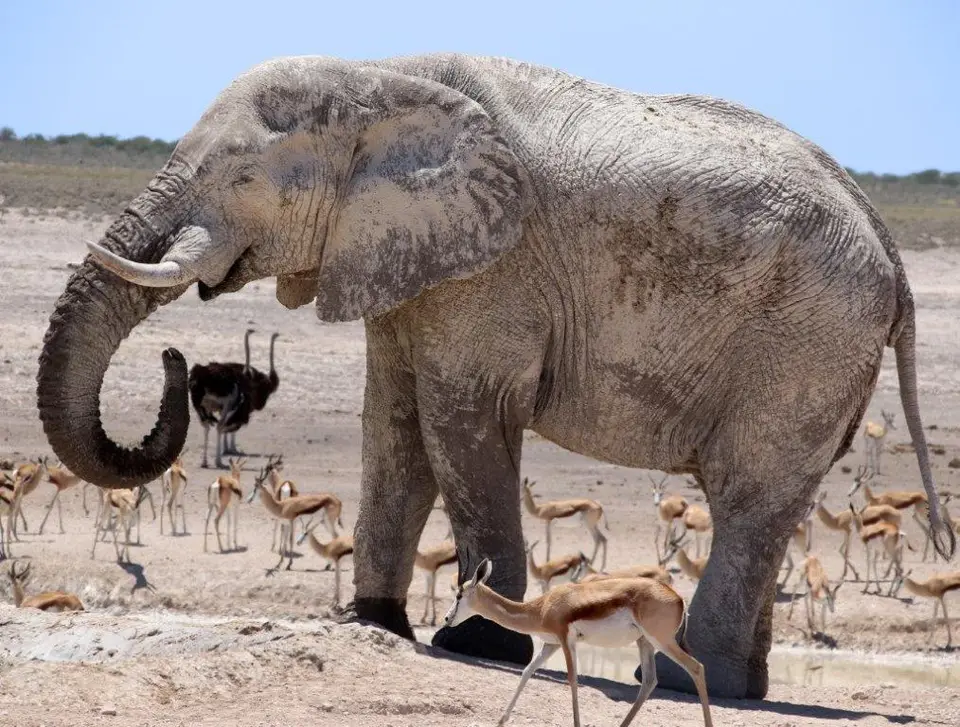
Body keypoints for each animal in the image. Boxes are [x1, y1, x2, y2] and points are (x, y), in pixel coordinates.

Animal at [36, 52, 955, 699]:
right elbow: (393, 426)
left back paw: (700, 681)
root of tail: (891, 250)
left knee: (747, 493)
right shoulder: (405, 259)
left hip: (806, 342)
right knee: (771, 504)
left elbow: (459, 421)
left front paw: (470, 644)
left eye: (243, 178)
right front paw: (377, 623)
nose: (179, 361)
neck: (379, 78)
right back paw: (743, 683)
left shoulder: (492, 271)